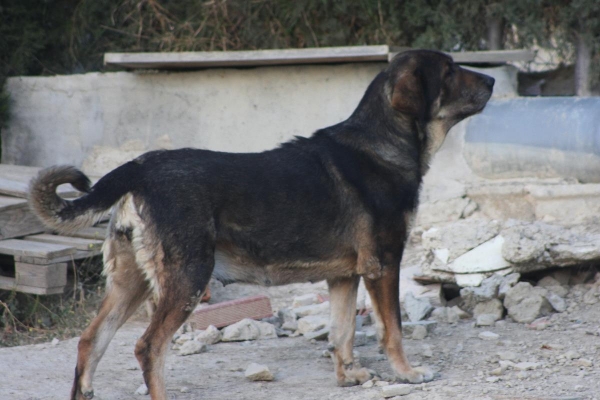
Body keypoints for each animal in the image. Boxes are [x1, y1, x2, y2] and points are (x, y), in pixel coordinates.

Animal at [29, 48, 492, 398]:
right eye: (450, 70)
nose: (491, 80)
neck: (384, 142)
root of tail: (138, 167)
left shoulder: (345, 276)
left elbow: (342, 332)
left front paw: (349, 377)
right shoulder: (385, 265)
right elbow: (392, 329)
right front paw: (407, 374)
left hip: (131, 282)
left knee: (90, 341)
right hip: (187, 278)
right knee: (148, 348)